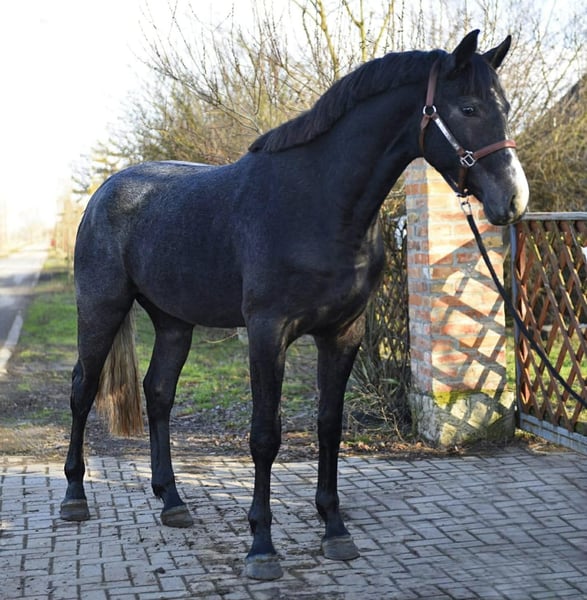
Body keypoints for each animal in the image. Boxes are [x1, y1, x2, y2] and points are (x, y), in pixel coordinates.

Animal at [60, 30, 528, 580]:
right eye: (469, 108)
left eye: (505, 107)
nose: (513, 200)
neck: (318, 204)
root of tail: (104, 193)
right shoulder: (268, 332)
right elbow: (265, 434)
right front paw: (261, 547)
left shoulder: (343, 332)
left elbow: (329, 426)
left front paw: (335, 529)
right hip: (101, 309)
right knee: (83, 390)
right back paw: (74, 498)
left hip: (174, 321)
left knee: (158, 393)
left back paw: (172, 501)